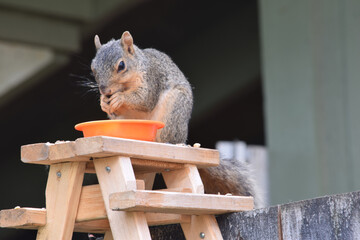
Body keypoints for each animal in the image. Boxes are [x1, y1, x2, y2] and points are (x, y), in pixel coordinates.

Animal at [90, 31, 264, 208]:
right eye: (93, 68)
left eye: (121, 65)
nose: (105, 91)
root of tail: (183, 141)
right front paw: (103, 103)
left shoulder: (152, 79)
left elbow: (144, 99)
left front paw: (120, 98)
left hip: (173, 111)